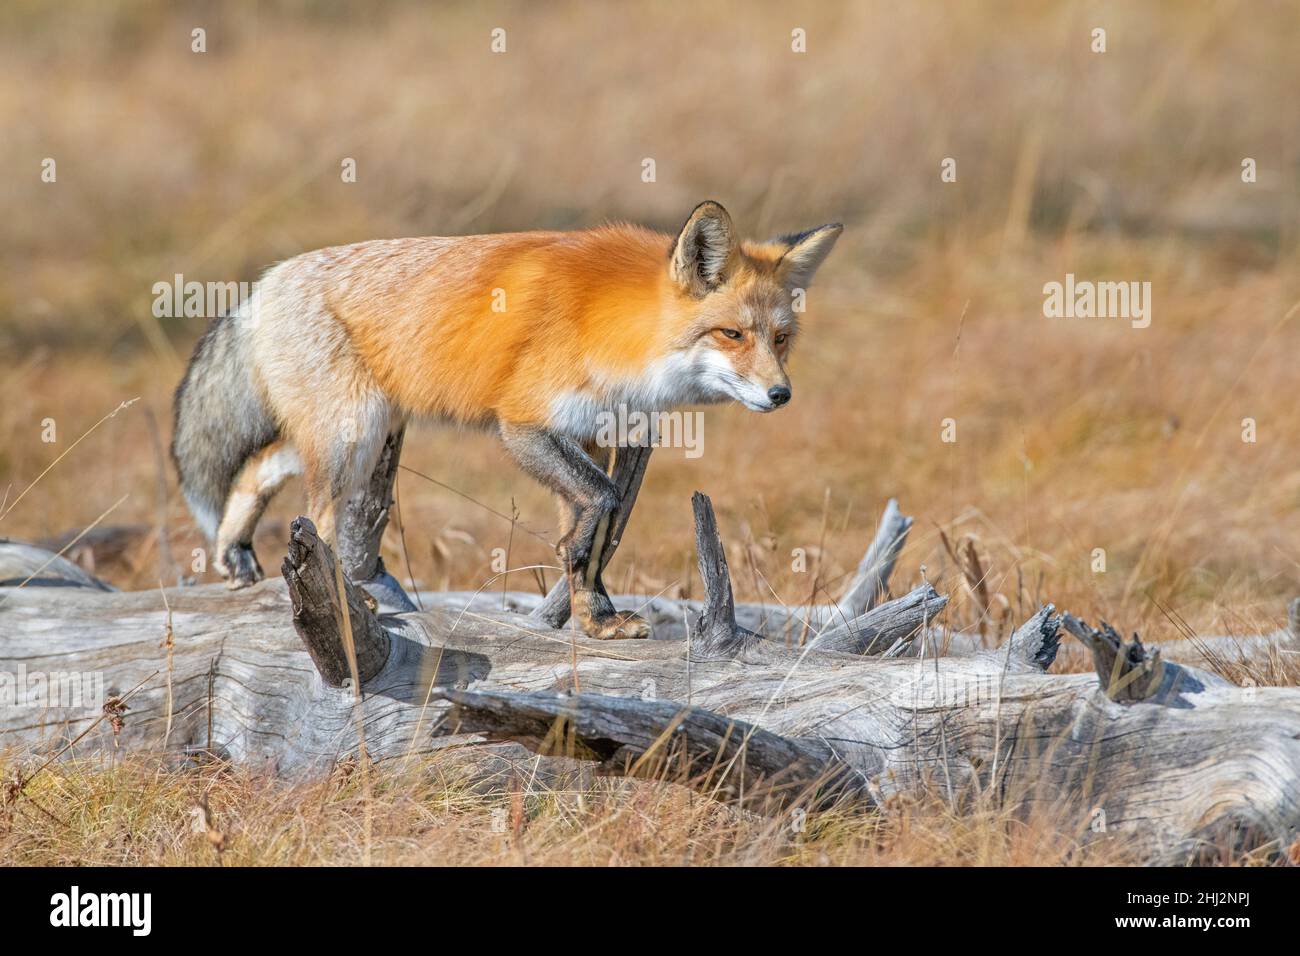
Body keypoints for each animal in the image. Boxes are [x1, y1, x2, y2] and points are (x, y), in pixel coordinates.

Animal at [172, 200, 841, 640]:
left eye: (781, 339)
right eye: (732, 335)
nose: (781, 394)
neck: (615, 333)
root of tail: (267, 281)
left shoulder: (598, 433)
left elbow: (598, 529)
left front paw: (594, 617)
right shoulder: (523, 425)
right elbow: (599, 506)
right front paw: (586, 598)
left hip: (360, 431)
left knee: (253, 474)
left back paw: (234, 554)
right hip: (350, 437)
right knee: (321, 521)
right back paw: (346, 598)